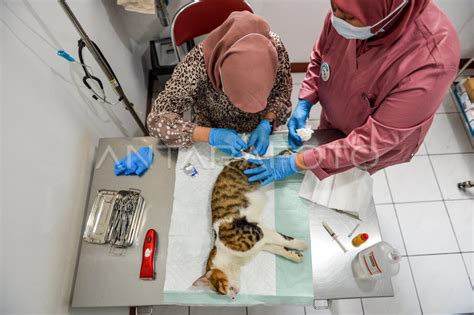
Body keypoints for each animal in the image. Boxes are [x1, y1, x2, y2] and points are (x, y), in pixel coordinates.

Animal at [193, 154, 308, 300]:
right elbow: (278, 247)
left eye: (221, 290)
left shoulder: (257, 231)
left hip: (258, 171)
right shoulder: (261, 242)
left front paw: (301, 244)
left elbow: (282, 239)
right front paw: (294, 255)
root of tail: (236, 158)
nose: (232, 297)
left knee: (282, 156)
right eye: (222, 294)